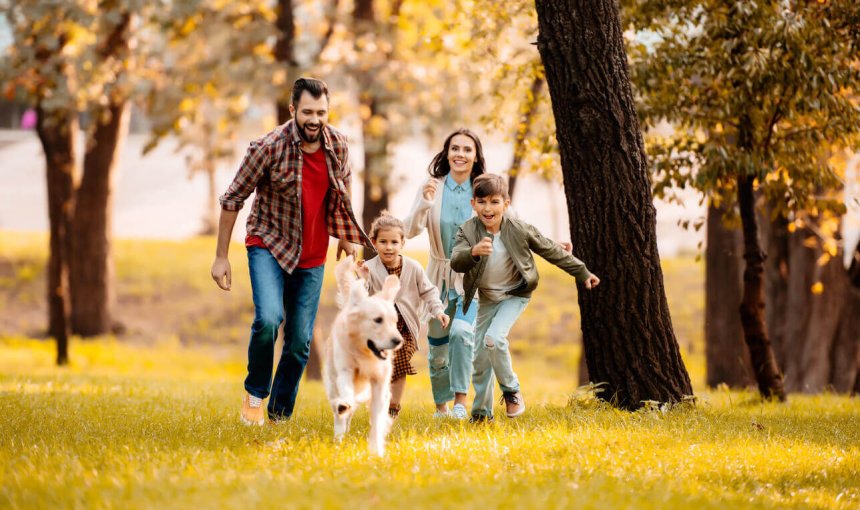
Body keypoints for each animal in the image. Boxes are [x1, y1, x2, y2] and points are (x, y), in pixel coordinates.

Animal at [324, 256, 404, 456]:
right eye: (377, 320)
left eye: (394, 321)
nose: (398, 340)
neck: (364, 354)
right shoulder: (345, 371)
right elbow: (345, 395)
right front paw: (343, 406)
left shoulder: (380, 382)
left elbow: (377, 419)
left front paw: (377, 451)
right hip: (331, 379)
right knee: (338, 409)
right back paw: (339, 436)